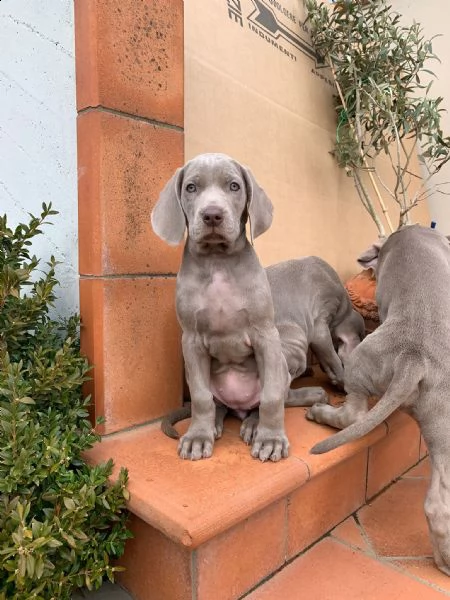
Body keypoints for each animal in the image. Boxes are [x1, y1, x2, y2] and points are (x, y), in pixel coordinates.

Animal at [150, 152, 324, 462]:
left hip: (281, 365)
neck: (218, 261)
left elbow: (270, 398)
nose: (212, 215)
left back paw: (254, 425)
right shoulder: (191, 340)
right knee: (217, 404)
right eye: (191, 187)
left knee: (264, 401)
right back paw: (214, 424)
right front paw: (198, 436)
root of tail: (238, 406)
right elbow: (201, 398)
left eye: (234, 186)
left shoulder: (266, 335)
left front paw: (271, 440)